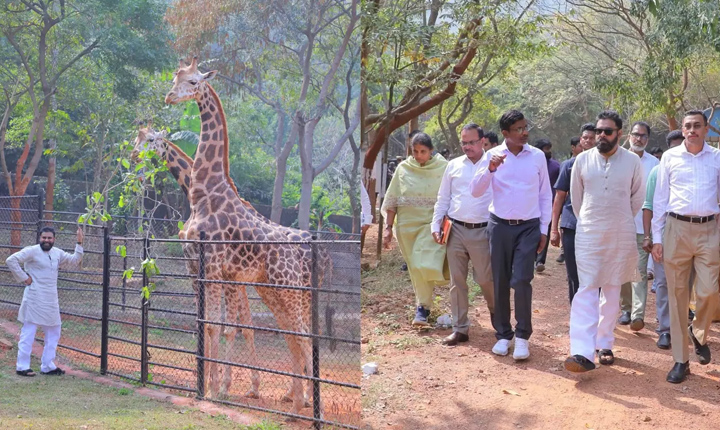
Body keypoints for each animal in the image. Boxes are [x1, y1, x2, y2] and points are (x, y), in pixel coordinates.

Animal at [164, 58, 331, 416]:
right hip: (274, 290)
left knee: (303, 335)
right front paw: (207, 386)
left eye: (194, 81)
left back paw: (311, 406)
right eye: (175, 78)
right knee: (293, 335)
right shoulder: (209, 269)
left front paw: (216, 390)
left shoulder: (214, 266)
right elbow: (209, 325)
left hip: (290, 288)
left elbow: (218, 326)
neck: (204, 193)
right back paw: (297, 399)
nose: (170, 97)